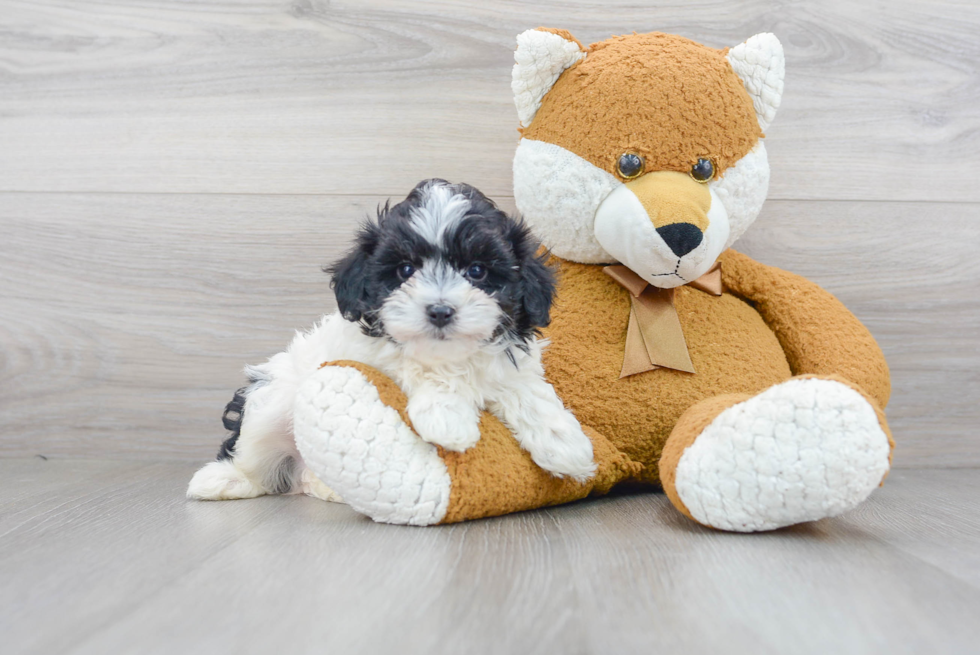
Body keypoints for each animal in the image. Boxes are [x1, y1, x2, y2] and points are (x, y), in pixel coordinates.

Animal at [187, 179, 592, 502]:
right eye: (405, 270)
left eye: (476, 270)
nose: (440, 311)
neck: (450, 356)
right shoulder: (370, 350)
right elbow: (414, 367)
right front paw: (447, 417)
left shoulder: (508, 362)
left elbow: (526, 390)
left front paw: (565, 443)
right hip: (273, 398)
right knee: (255, 453)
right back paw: (224, 480)